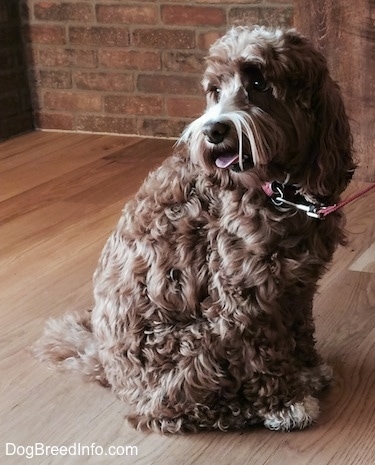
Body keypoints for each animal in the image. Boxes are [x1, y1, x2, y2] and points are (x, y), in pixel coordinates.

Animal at [33, 24, 356, 432]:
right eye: (215, 91)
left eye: (259, 83)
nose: (214, 130)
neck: (277, 191)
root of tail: (105, 365)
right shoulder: (244, 298)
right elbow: (265, 356)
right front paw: (286, 402)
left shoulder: (296, 287)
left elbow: (300, 331)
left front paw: (308, 372)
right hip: (200, 344)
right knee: (167, 413)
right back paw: (238, 410)